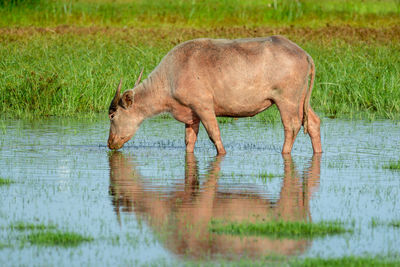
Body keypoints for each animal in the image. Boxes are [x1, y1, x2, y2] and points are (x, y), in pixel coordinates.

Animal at [106, 35, 322, 155]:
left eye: (112, 115)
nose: (110, 143)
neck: (172, 75)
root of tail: (304, 54)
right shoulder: (191, 114)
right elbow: (189, 140)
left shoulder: (203, 106)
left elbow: (214, 134)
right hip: (301, 99)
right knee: (313, 122)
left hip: (287, 99)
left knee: (292, 126)